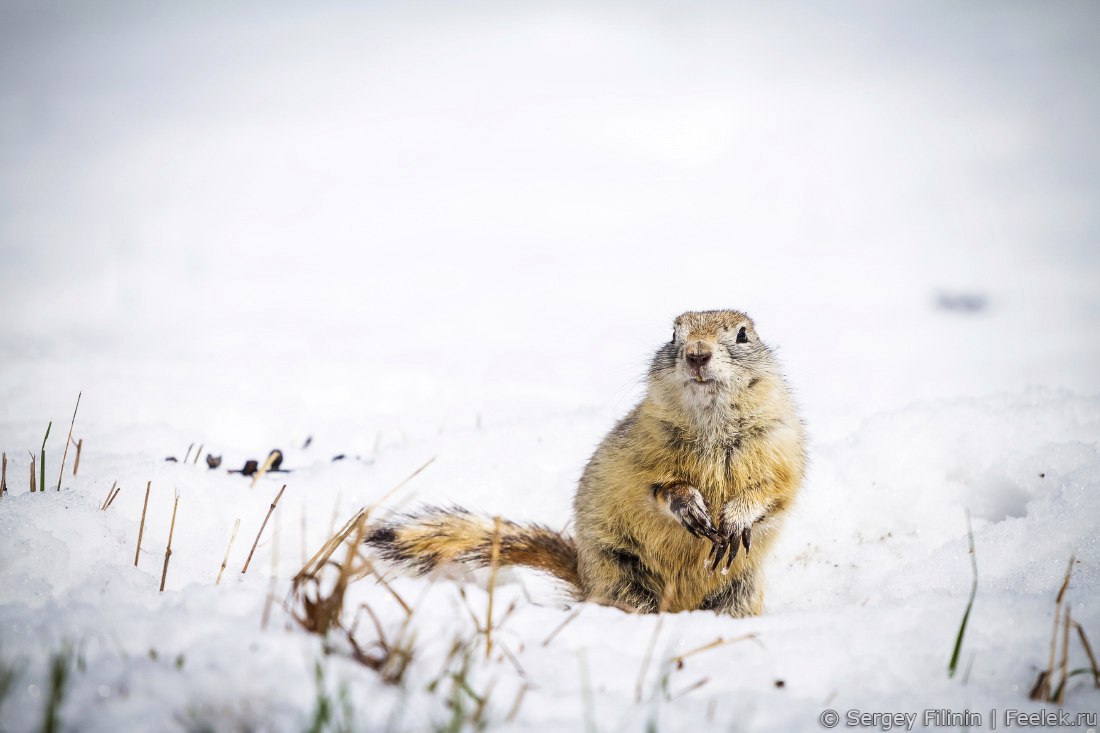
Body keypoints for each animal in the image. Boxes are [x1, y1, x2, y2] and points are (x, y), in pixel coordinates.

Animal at [365, 305, 805, 611]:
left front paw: (735, 519)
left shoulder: (781, 445)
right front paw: (690, 506)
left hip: (739, 592)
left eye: (743, 334)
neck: (712, 426)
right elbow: (658, 485)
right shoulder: (642, 449)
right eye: (673, 334)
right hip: (621, 575)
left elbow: (772, 491)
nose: (697, 354)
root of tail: (583, 575)